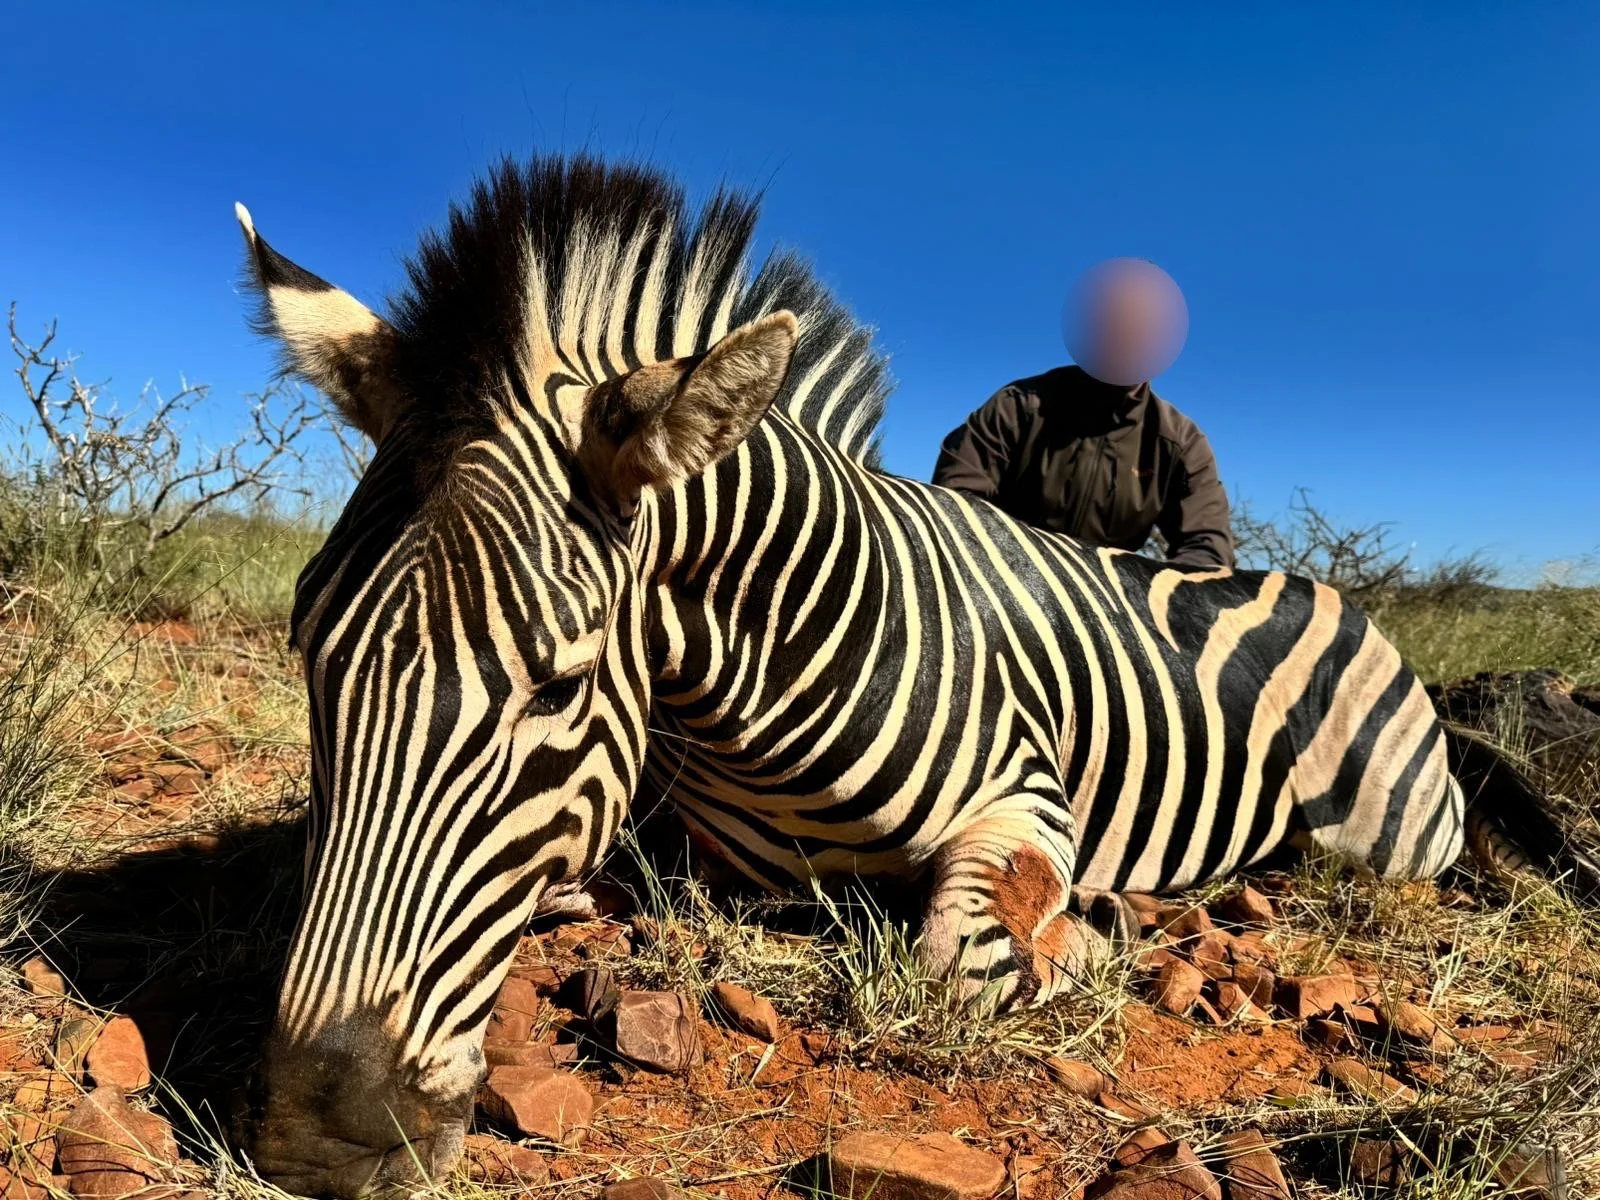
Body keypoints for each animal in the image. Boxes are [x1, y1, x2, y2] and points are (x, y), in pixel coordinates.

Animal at [234, 155, 1591, 1197]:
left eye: (556, 688)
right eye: (309, 651)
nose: (317, 1142)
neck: (769, 678)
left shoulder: (1027, 795)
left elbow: (965, 952)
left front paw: (1090, 934)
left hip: (1385, 834)